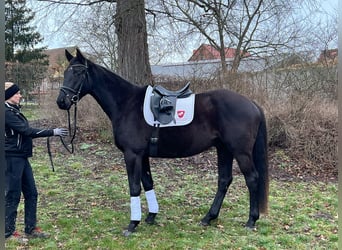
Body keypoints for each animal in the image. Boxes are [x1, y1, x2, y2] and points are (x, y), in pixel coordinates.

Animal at [56, 47, 270, 235]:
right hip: (223, 149)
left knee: (252, 178)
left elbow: (134, 186)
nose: (61, 102)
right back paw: (208, 217)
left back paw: (251, 220)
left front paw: (132, 224)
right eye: (66, 72)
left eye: (78, 72)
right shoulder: (142, 156)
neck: (126, 104)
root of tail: (252, 104)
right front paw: (151, 216)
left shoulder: (132, 154)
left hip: (240, 152)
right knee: (224, 180)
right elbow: (148, 183)